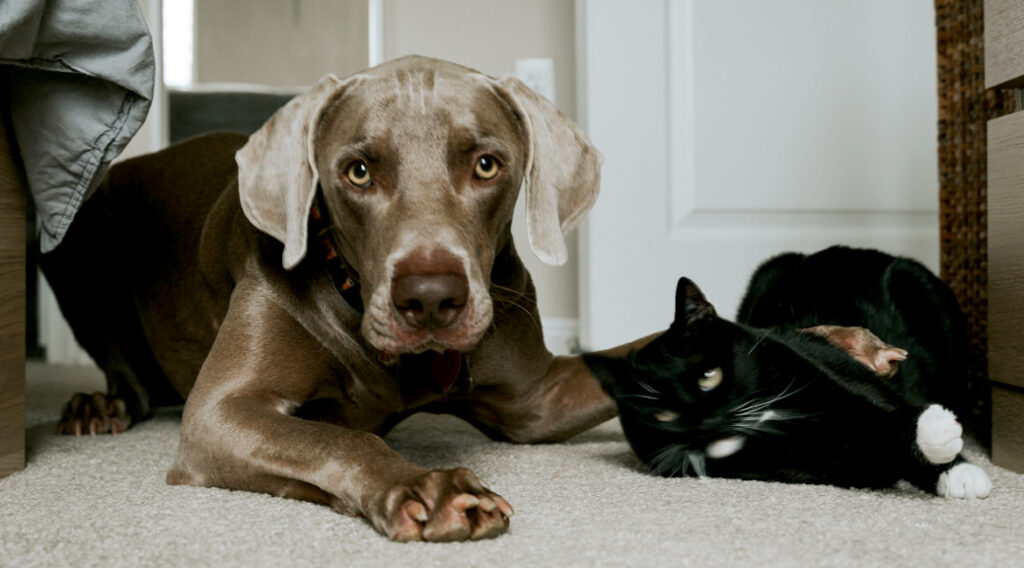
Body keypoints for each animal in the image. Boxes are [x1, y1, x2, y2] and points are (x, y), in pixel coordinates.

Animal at [41, 55, 630, 540]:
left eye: (486, 164)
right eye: (359, 172)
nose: (431, 299)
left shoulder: (537, 399)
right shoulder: (220, 412)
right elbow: (339, 440)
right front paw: (425, 486)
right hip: (75, 239)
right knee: (128, 374)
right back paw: (100, 406)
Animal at [585, 245, 991, 497]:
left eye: (709, 377)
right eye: (662, 414)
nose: (706, 423)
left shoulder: (833, 369)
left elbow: (887, 409)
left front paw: (955, 466)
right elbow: (871, 452)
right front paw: (938, 446)